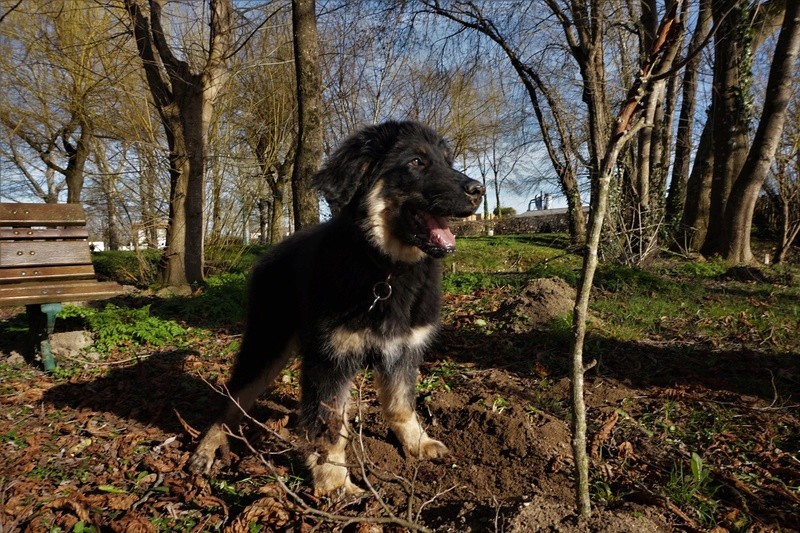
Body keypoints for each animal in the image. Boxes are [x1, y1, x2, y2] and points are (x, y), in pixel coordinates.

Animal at [191, 120, 484, 494]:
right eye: (416, 162)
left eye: (448, 161)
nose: (479, 190)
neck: (384, 269)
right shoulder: (330, 360)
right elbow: (330, 426)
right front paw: (335, 483)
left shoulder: (404, 350)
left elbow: (401, 404)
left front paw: (417, 443)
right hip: (266, 340)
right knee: (233, 397)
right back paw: (207, 447)